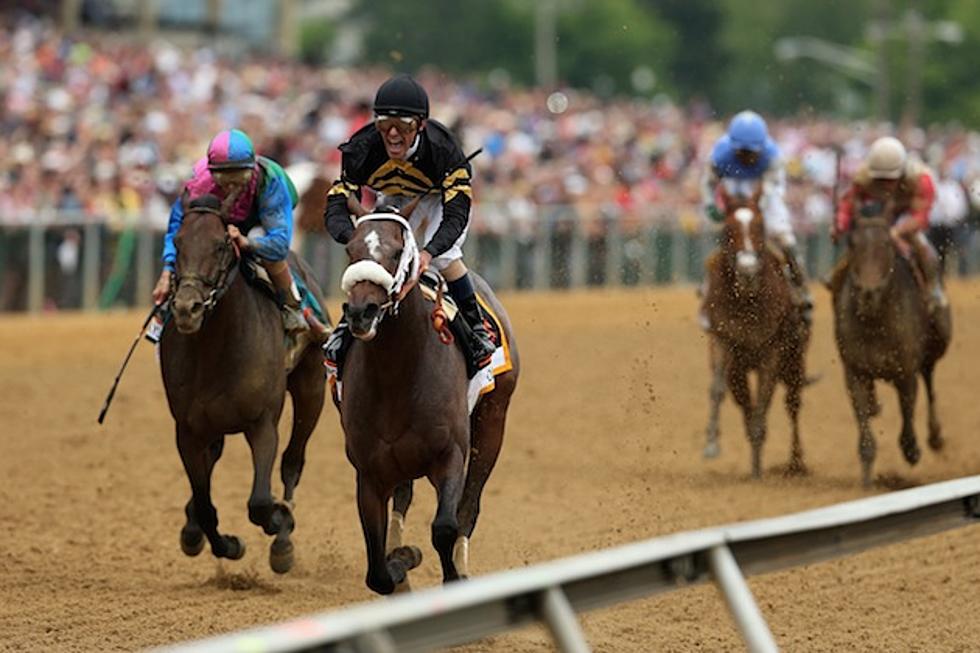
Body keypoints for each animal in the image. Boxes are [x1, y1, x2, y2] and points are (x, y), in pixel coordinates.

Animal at [159, 196, 330, 572]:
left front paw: (279, 520)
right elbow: (205, 503)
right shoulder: (187, 431)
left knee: (293, 461)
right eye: (177, 242)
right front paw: (226, 543)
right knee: (212, 462)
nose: (187, 308)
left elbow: (260, 501)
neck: (216, 349)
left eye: (221, 245)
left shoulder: (262, 422)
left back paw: (283, 538)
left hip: (311, 387)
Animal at [336, 211, 520, 592]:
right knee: (404, 497)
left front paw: (445, 572)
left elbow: (444, 527)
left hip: (493, 421)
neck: (396, 373)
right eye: (349, 249)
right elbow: (377, 571)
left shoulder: (449, 454)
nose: (362, 312)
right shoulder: (369, 472)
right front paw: (400, 559)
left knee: (469, 504)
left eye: (396, 253)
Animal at [704, 191, 812, 476]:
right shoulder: (723, 341)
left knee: (792, 404)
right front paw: (711, 443)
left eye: (760, 227)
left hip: (795, 361)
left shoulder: (772, 352)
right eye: (728, 228)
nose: (748, 271)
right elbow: (717, 389)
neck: (747, 300)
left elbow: (765, 396)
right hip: (739, 370)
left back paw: (795, 463)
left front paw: (758, 461)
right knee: (745, 402)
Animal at [832, 216, 952, 486]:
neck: (875, 321)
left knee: (929, 378)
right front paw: (867, 475)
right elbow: (863, 417)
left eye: (887, 243)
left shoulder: (905, 371)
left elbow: (908, 410)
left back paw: (935, 436)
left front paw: (912, 451)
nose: (869, 293)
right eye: (852, 243)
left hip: (935, 342)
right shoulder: (855, 372)